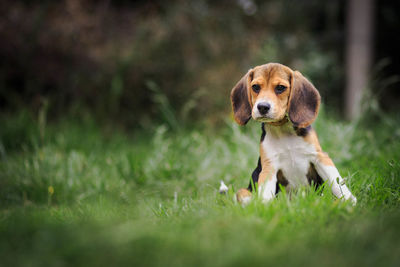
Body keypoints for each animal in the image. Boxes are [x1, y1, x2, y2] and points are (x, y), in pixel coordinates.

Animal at [230, 62, 358, 205]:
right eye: (255, 87)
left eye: (280, 88)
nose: (262, 107)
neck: (283, 130)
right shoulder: (269, 166)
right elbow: (266, 193)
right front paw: (265, 207)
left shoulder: (320, 157)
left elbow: (337, 182)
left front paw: (350, 201)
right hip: (243, 191)